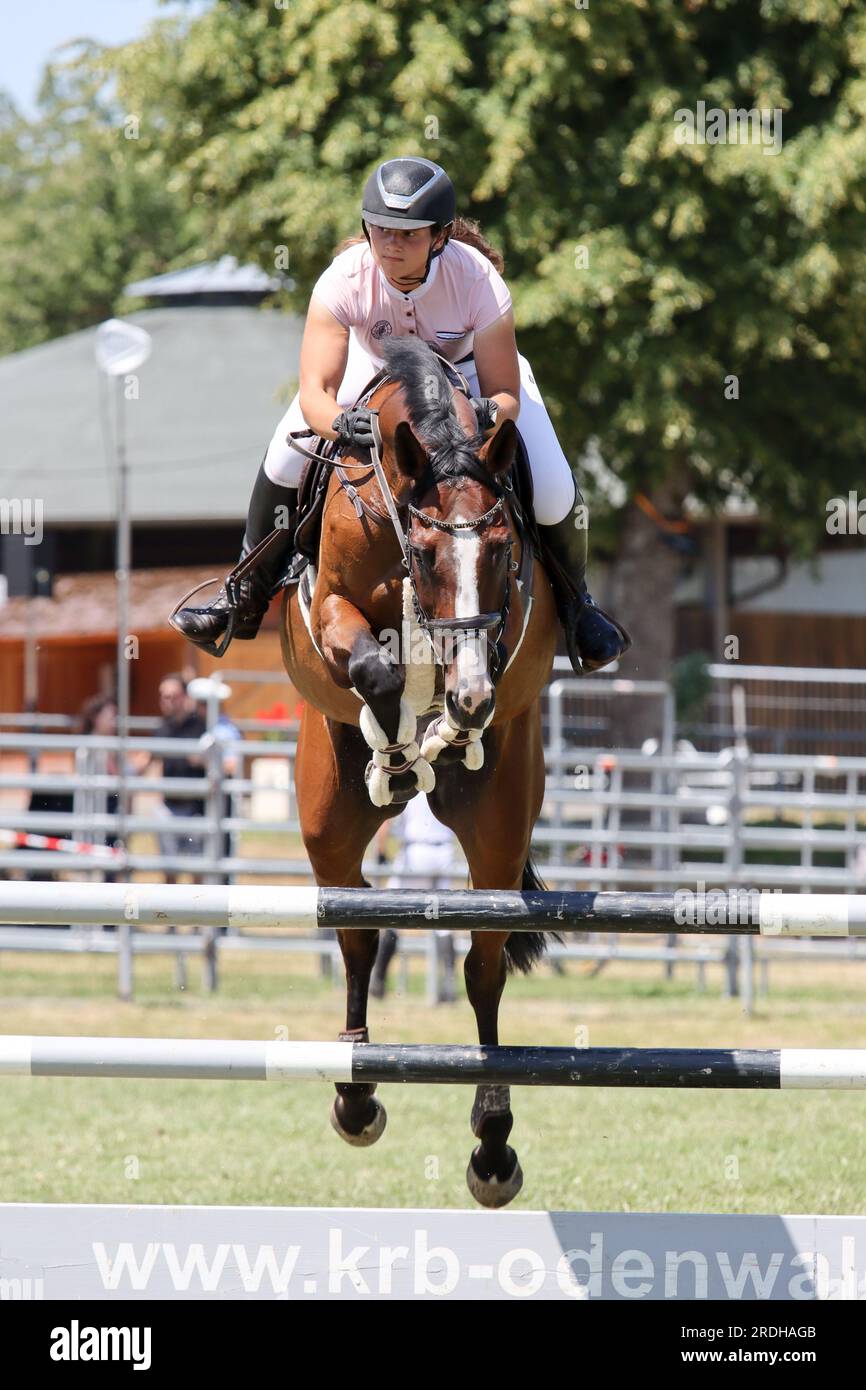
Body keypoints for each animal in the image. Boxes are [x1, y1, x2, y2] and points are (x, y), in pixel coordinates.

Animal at [280, 336, 558, 1206]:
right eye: (428, 553)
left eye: (501, 550)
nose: (469, 693)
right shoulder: (332, 606)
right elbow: (373, 666)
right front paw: (398, 738)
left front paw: (449, 724)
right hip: (327, 823)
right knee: (358, 931)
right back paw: (356, 1092)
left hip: (498, 829)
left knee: (482, 965)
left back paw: (493, 1145)